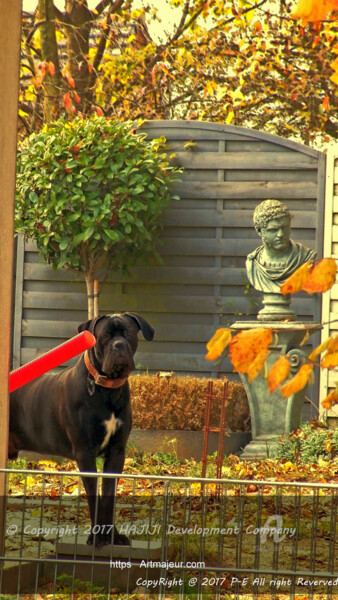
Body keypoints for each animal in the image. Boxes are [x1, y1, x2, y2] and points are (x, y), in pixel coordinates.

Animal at [9, 312, 154, 548]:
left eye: (129, 333)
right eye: (104, 336)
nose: (119, 345)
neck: (106, 388)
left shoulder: (116, 453)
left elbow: (109, 495)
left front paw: (112, 537)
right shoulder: (85, 452)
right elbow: (94, 496)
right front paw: (96, 537)